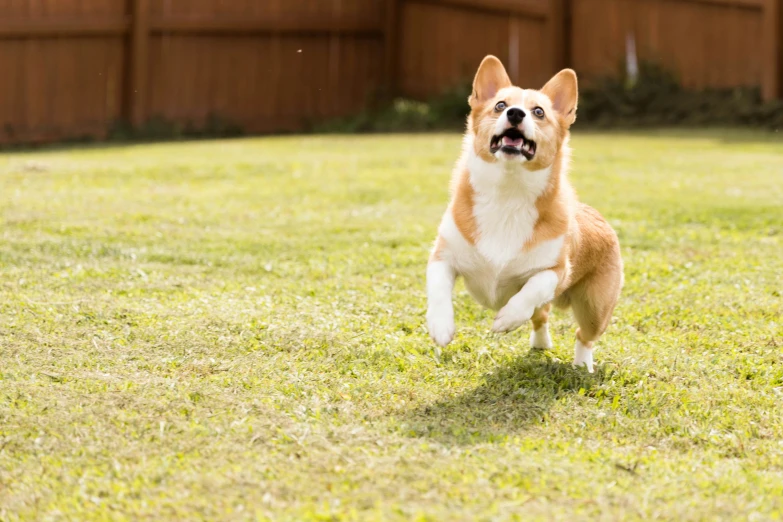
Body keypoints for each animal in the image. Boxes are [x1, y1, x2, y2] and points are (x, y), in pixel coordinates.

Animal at [428, 54, 624, 370]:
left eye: (539, 112)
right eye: (500, 105)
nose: (516, 114)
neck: (509, 192)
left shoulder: (556, 271)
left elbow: (533, 288)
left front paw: (506, 319)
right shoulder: (442, 256)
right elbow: (438, 288)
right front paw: (440, 327)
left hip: (595, 307)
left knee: (583, 335)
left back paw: (582, 366)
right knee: (541, 317)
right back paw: (541, 345)